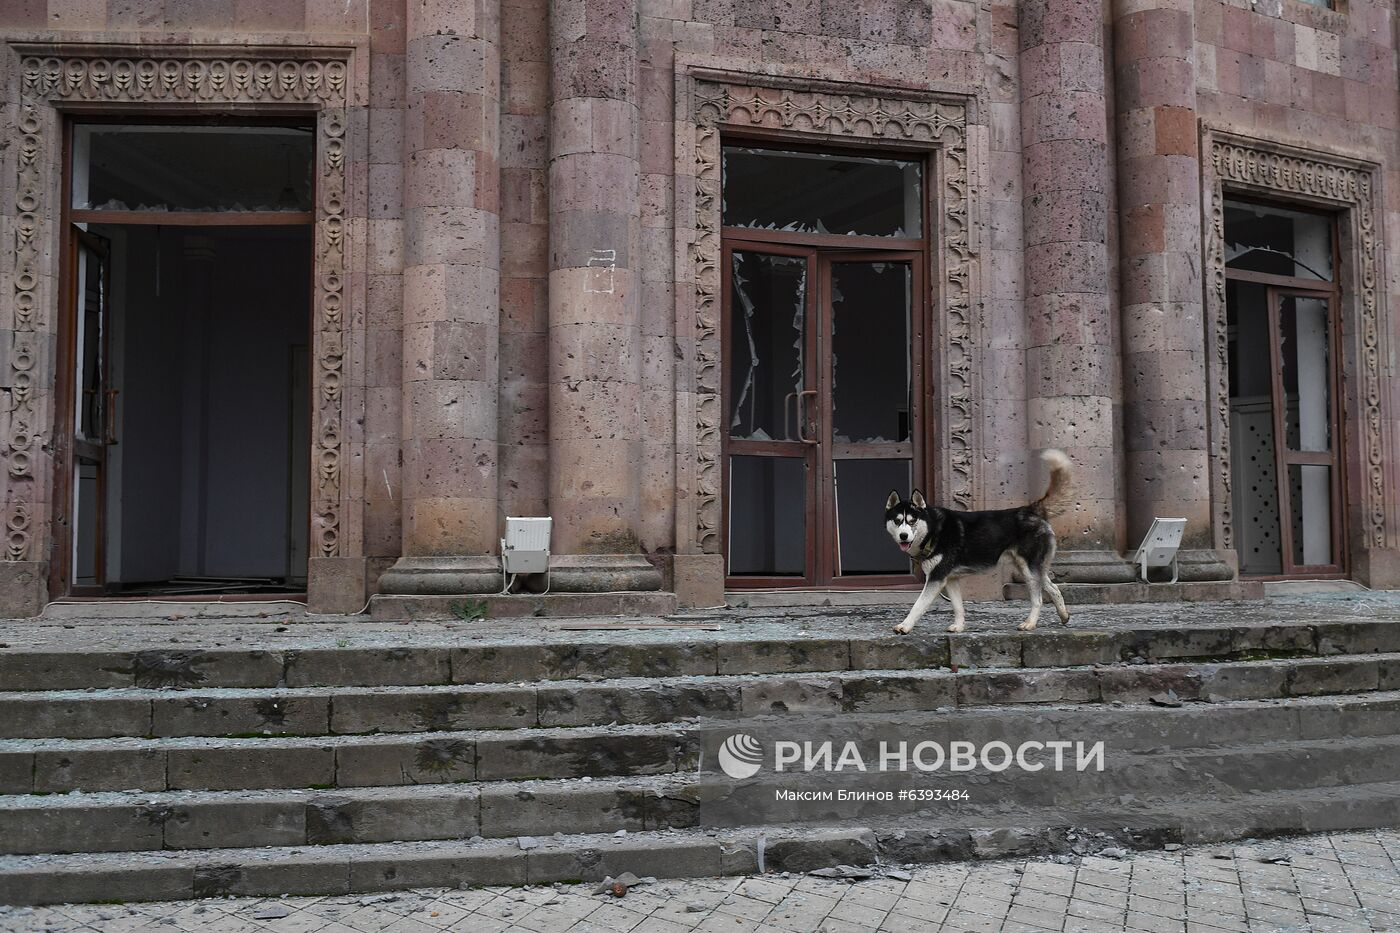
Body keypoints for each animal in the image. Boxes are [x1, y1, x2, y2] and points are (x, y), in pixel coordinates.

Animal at [884, 448, 1069, 633]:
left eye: (912, 521)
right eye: (898, 521)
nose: (903, 536)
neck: (934, 531)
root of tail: (1030, 509)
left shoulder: (936, 578)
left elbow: (918, 605)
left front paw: (904, 626)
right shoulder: (950, 579)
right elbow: (958, 606)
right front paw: (959, 626)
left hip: (1029, 570)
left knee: (1038, 599)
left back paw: (1030, 623)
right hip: (1029, 568)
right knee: (1054, 588)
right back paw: (1064, 616)